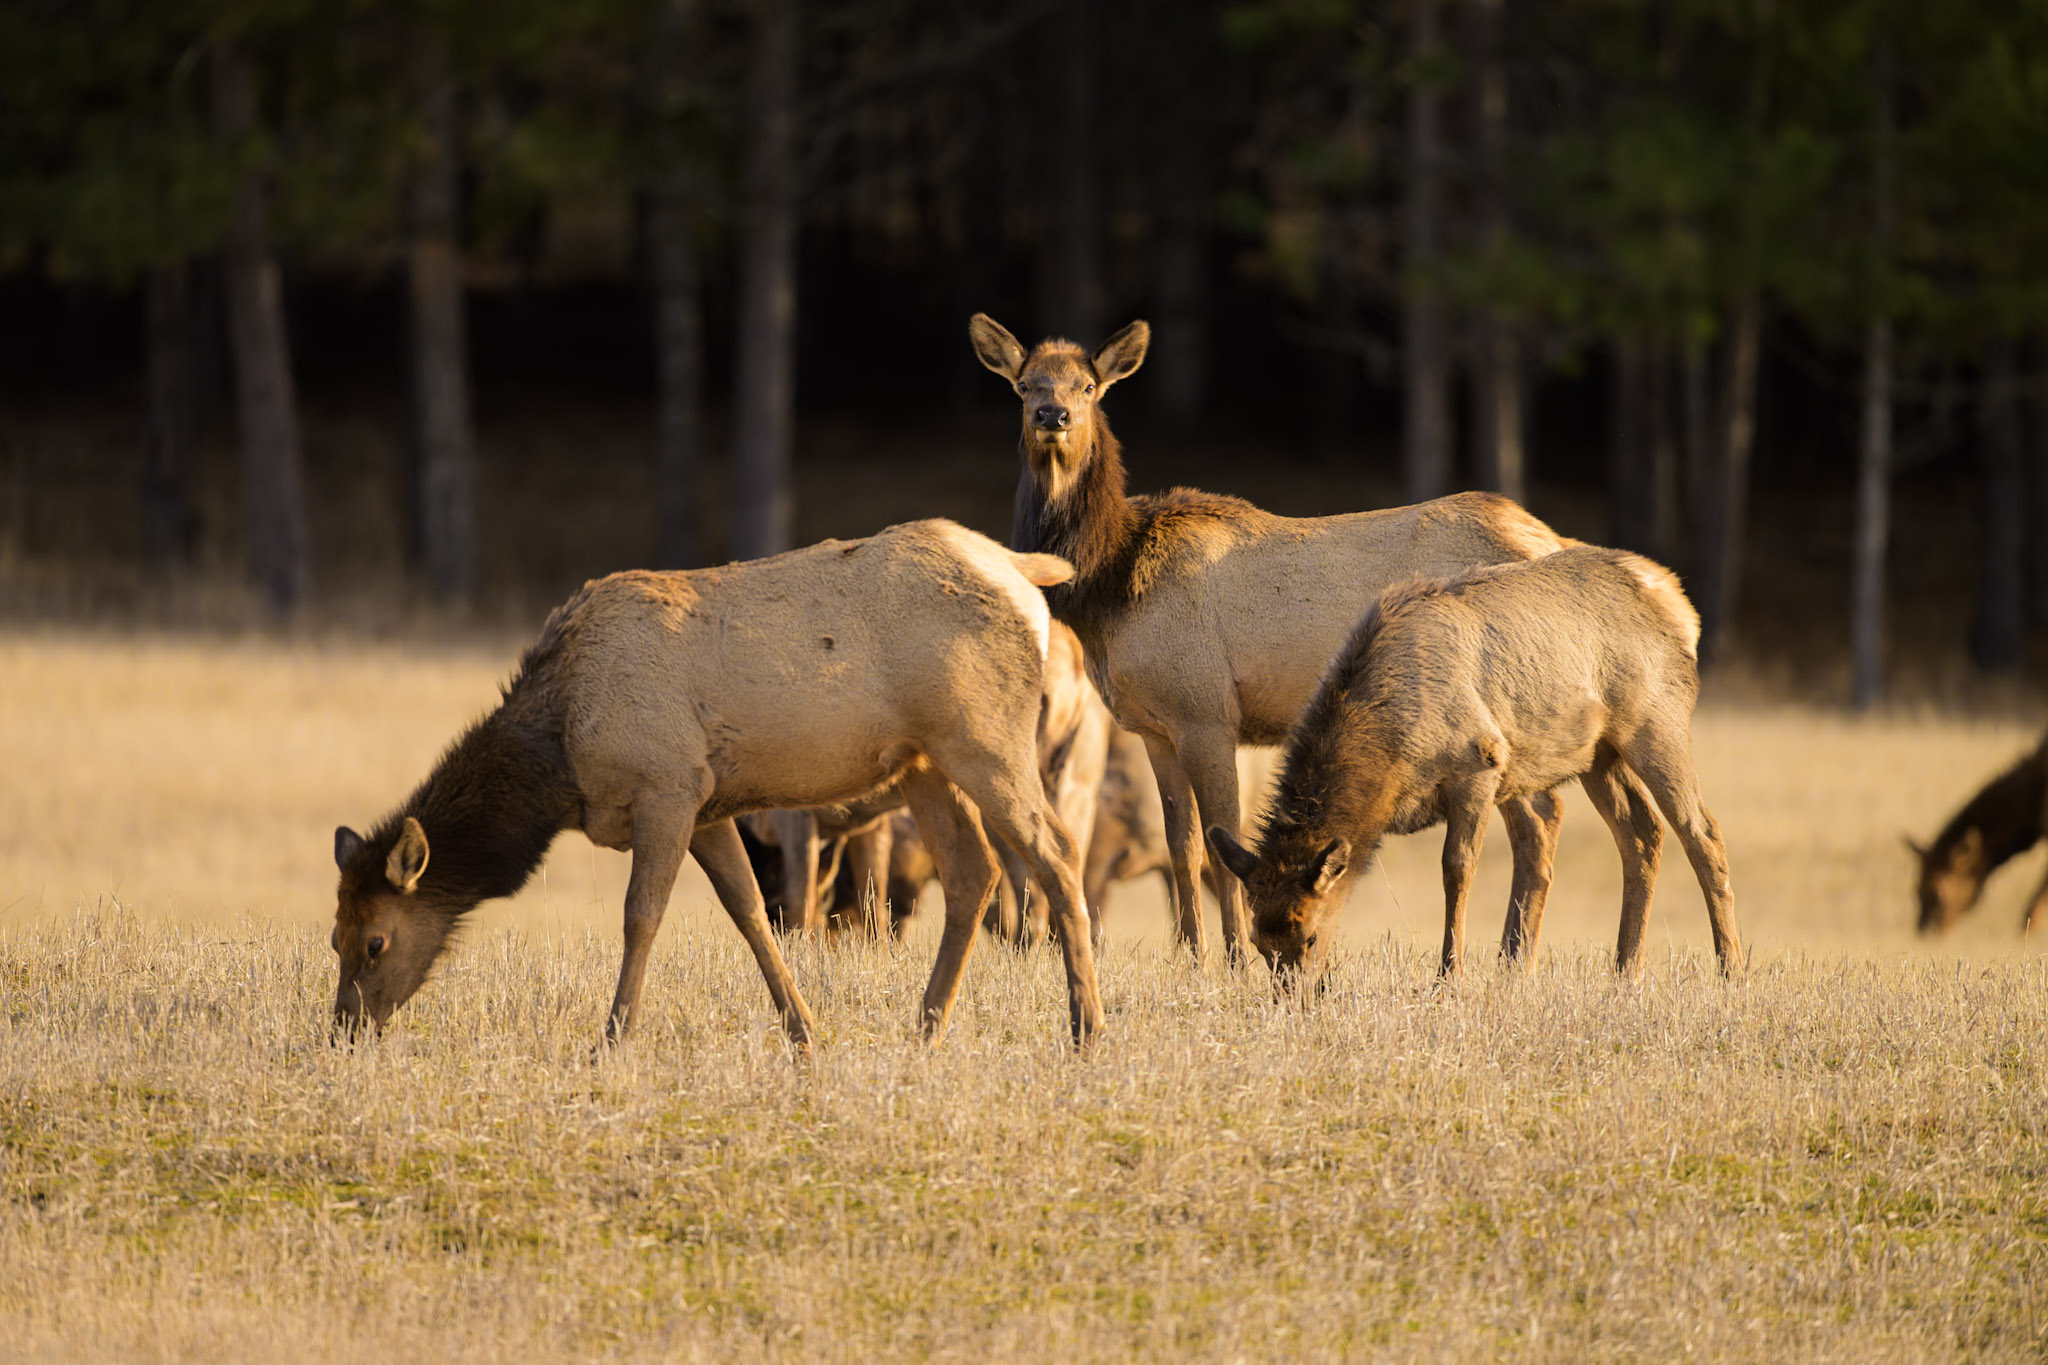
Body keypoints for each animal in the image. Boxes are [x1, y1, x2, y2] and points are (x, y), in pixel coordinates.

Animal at [1204, 548, 1753, 986]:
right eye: (1260, 944)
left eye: (1311, 937)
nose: (1297, 996)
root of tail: (1681, 604)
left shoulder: (1479, 762)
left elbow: (1457, 869)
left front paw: (1449, 976)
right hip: (1597, 754)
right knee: (1642, 833)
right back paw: (1624, 970)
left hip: (1657, 723)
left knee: (1702, 831)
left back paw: (1730, 969)